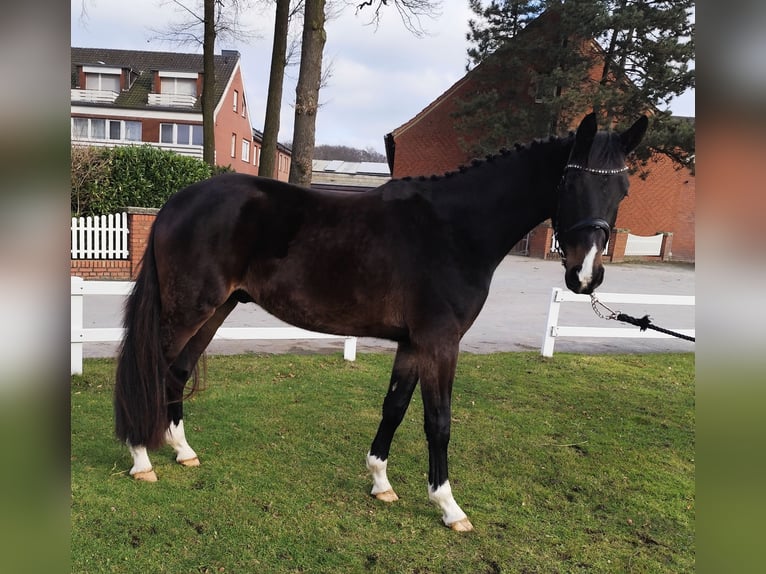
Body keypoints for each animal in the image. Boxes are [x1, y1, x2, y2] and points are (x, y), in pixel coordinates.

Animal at [115, 115, 648, 532]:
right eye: (571, 184)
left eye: (622, 188)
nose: (585, 275)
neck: (457, 229)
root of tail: (174, 203)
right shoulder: (440, 343)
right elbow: (439, 422)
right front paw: (448, 506)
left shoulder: (412, 343)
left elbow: (394, 408)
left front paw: (380, 482)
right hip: (188, 310)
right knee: (149, 371)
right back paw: (141, 458)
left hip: (215, 309)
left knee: (175, 372)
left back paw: (182, 450)